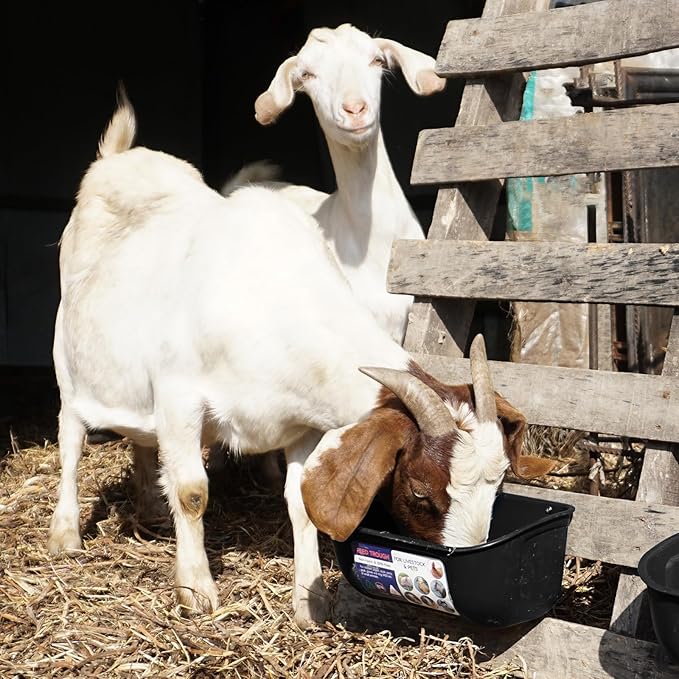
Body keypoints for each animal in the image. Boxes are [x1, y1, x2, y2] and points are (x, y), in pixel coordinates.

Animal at [48, 96, 554, 629]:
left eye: (498, 488)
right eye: (419, 490)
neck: (268, 295)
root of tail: (116, 160)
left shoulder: (302, 423)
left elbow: (302, 503)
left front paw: (309, 602)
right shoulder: (178, 397)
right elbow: (191, 492)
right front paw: (197, 591)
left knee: (142, 441)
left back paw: (148, 504)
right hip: (67, 365)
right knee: (71, 442)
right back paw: (65, 534)